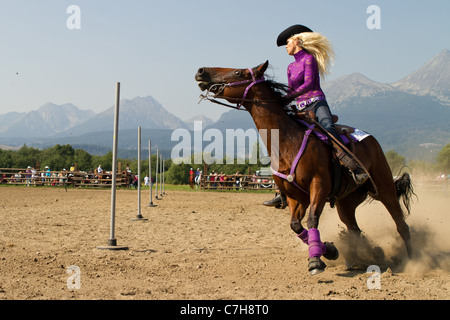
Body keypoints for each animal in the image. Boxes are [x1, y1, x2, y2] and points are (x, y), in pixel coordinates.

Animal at [196, 60, 414, 276]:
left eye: (238, 72)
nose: (201, 71)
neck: (287, 141)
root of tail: (371, 139)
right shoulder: (296, 197)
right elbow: (296, 226)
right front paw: (330, 250)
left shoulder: (319, 186)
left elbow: (312, 220)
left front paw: (315, 260)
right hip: (346, 202)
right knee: (355, 229)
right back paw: (358, 258)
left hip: (384, 188)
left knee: (401, 225)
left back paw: (411, 260)